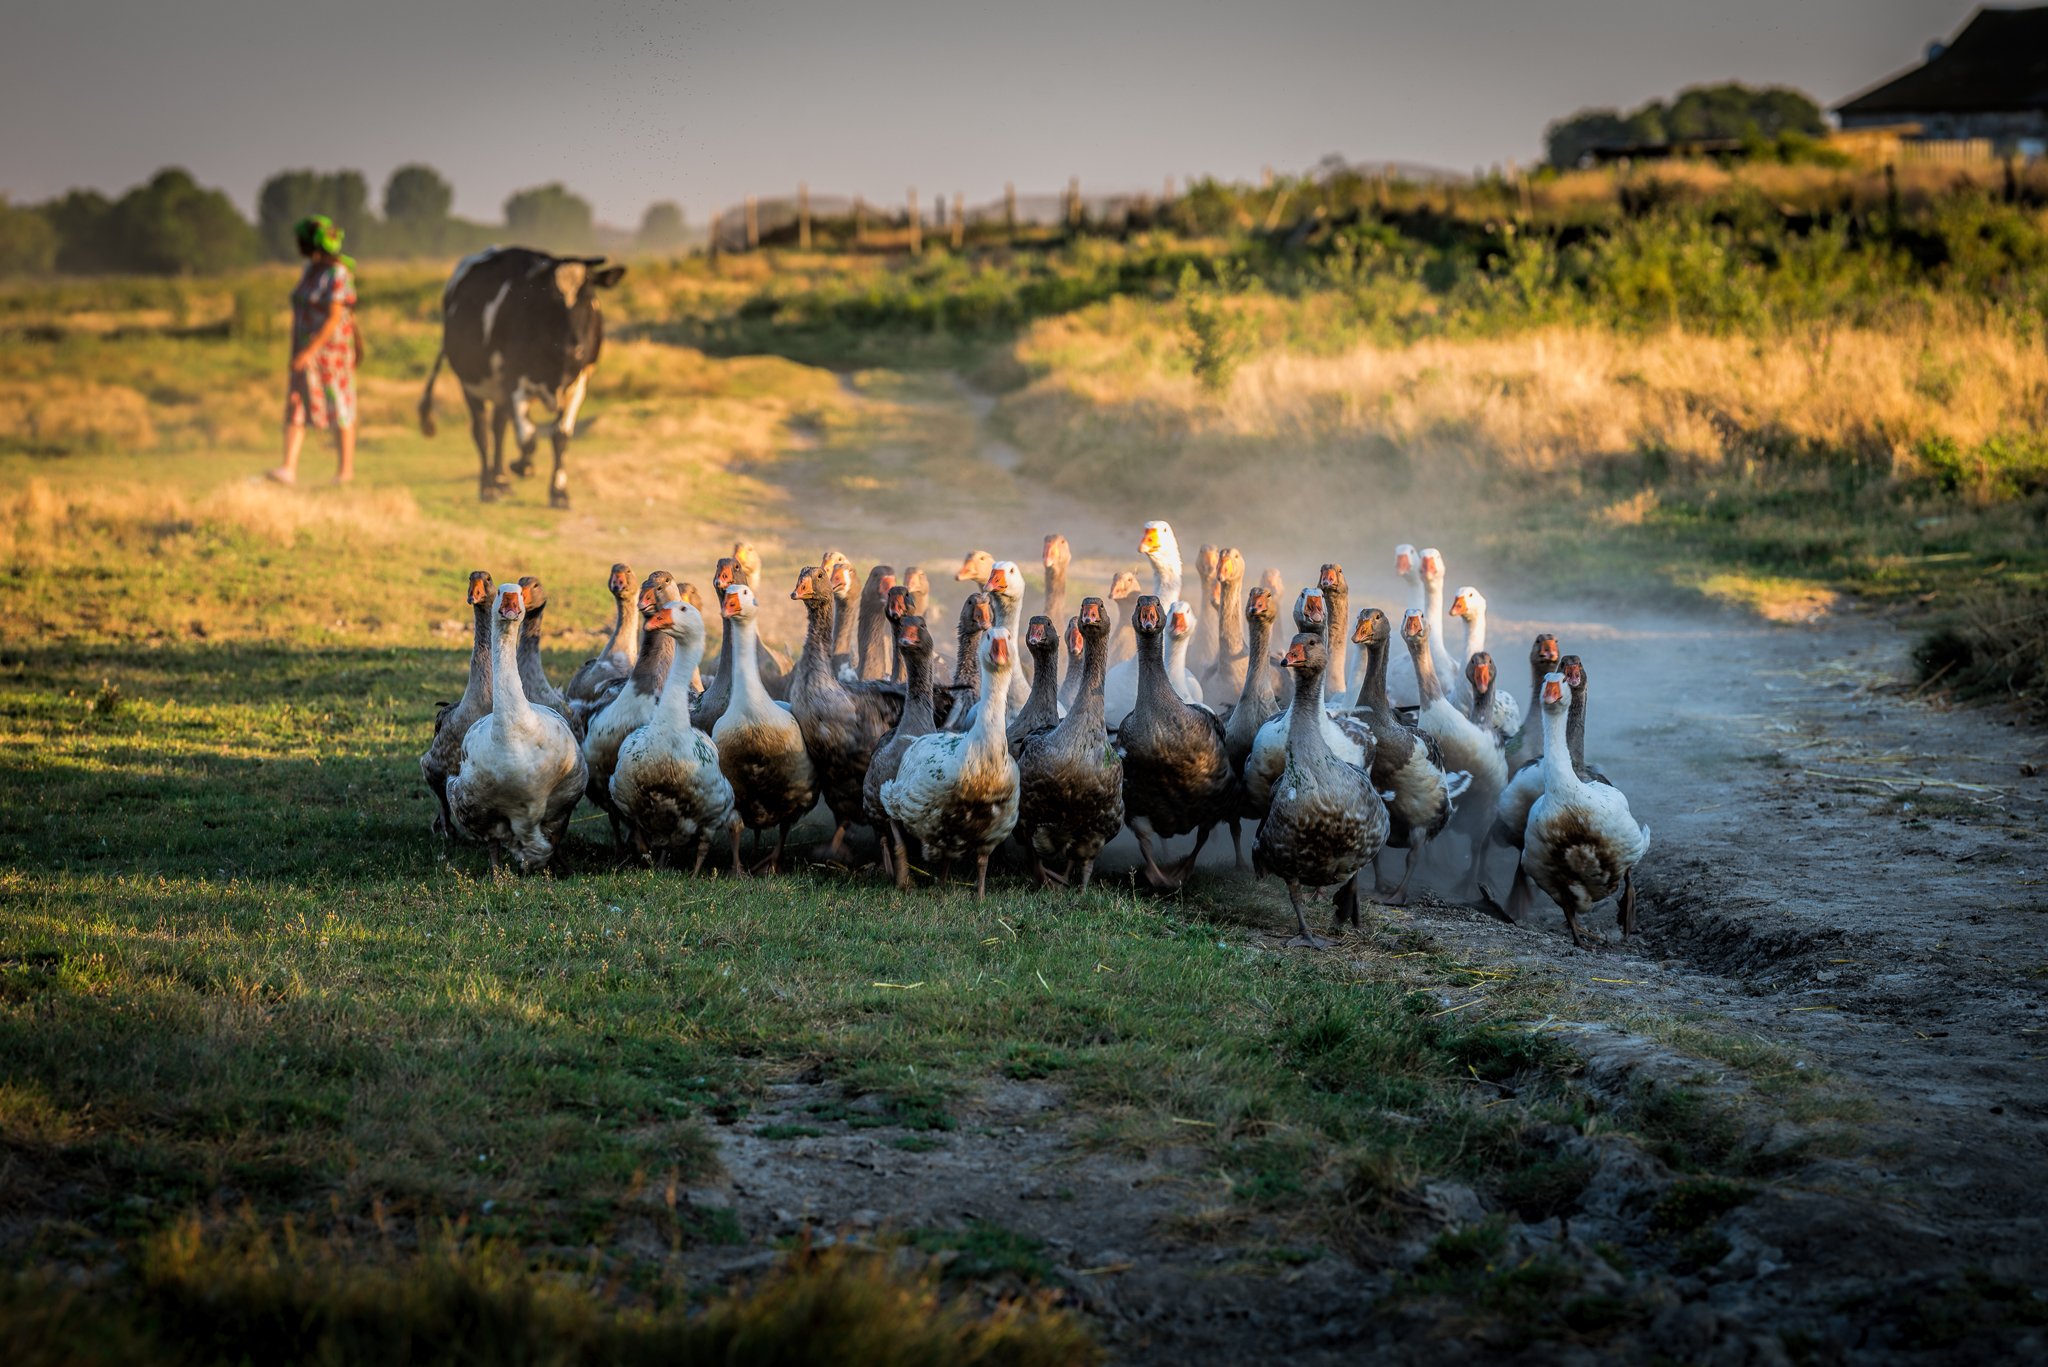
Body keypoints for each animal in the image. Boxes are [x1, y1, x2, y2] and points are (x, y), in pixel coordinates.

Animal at [419, 245, 626, 508]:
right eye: (551, 299)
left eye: (589, 296)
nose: (574, 348)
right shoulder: (514, 380)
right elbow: (528, 436)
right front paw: (523, 466)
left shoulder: (580, 383)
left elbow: (560, 435)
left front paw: (559, 493)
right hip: (470, 383)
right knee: (482, 432)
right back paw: (488, 487)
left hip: (499, 393)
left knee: (498, 427)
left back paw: (501, 481)